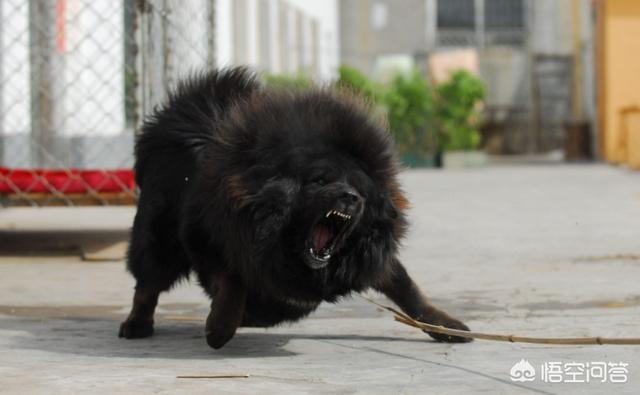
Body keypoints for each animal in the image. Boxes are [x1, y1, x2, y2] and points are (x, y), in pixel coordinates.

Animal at [120, 68, 470, 350]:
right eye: (319, 181)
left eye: (361, 191)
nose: (349, 197)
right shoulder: (210, 239)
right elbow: (234, 280)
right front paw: (219, 328)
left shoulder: (372, 258)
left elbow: (409, 290)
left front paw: (446, 326)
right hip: (158, 243)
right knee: (147, 285)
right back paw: (137, 324)